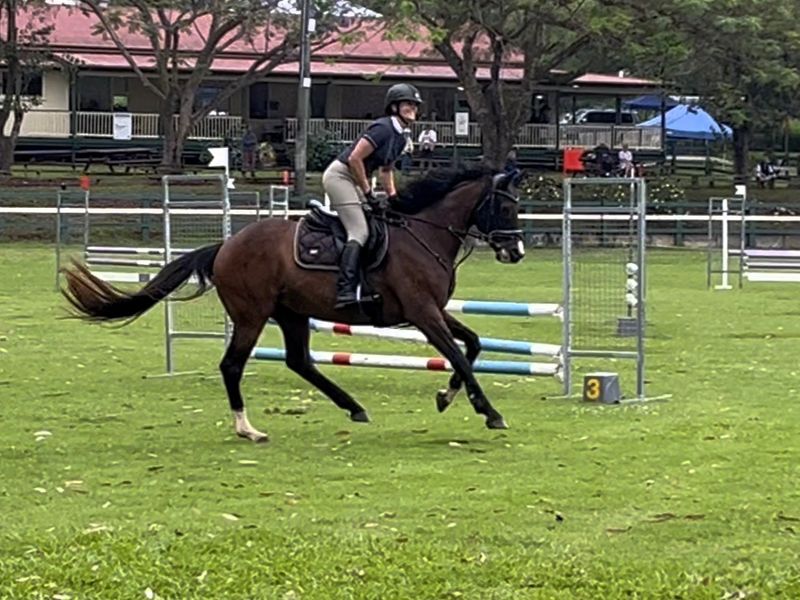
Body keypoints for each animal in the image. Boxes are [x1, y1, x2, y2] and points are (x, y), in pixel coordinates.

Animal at [61, 166, 526, 443]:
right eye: (504, 207)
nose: (517, 251)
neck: (424, 234)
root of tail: (226, 246)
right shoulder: (422, 313)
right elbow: (459, 355)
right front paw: (489, 411)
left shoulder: (433, 310)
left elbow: (473, 344)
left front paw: (447, 396)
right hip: (252, 315)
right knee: (233, 365)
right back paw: (248, 428)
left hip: (292, 313)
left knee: (300, 361)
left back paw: (354, 407)